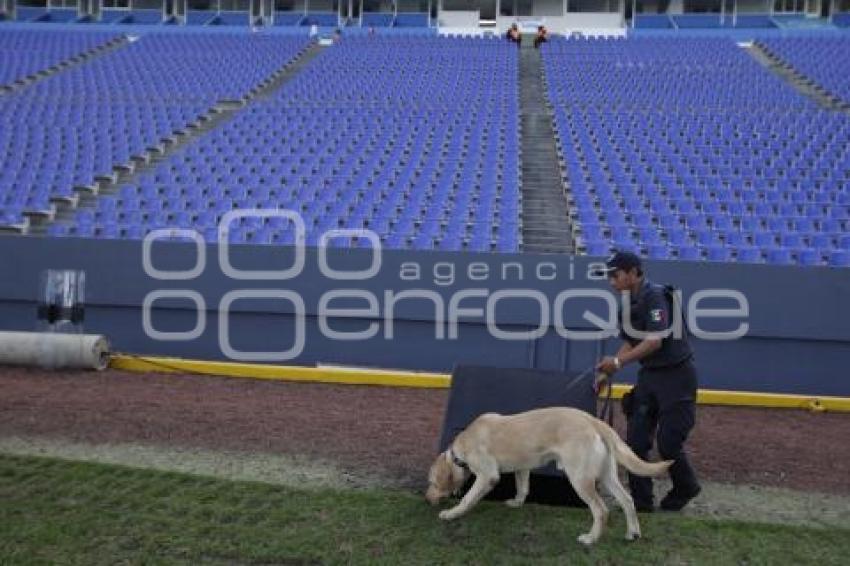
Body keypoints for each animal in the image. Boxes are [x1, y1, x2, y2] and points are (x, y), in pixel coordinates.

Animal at [424, 408, 668, 544]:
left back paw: (590, 539)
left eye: (432, 482)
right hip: (607, 476)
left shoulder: (487, 475)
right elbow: (523, 487)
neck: (463, 444)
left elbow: (467, 498)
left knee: (601, 511)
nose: (427, 499)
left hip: (580, 479)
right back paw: (633, 533)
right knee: (627, 500)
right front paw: (517, 503)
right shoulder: (523, 467)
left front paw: (452, 514)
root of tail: (594, 421)